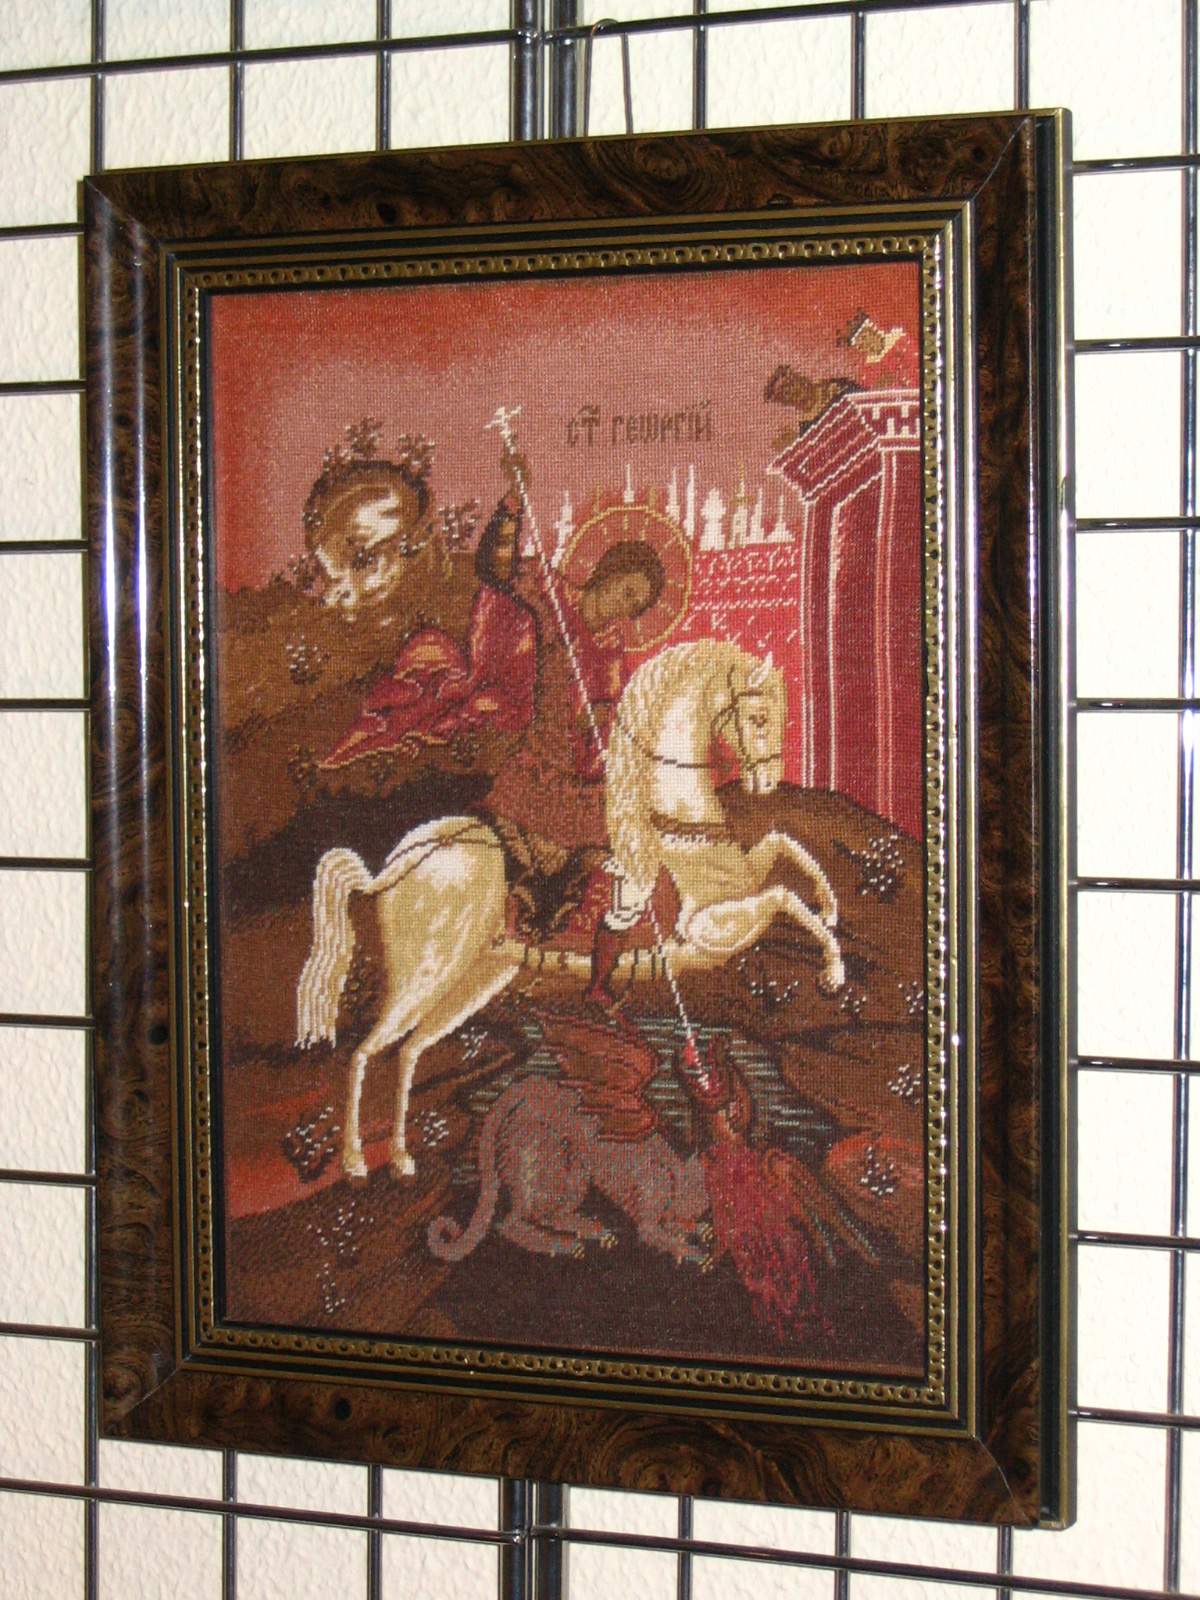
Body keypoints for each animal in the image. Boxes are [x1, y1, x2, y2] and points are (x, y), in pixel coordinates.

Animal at [296, 639, 844, 1182]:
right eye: (758, 717)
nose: (767, 782)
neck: (676, 825)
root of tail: (400, 864)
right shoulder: (708, 931)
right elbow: (783, 895)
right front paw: (834, 969)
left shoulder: (742, 886)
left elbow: (785, 848)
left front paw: (831, 905)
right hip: (425, 974)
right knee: (365, 1052)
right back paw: (355, 1161)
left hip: (477, 978)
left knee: (409, 1052)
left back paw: (403, 1157)